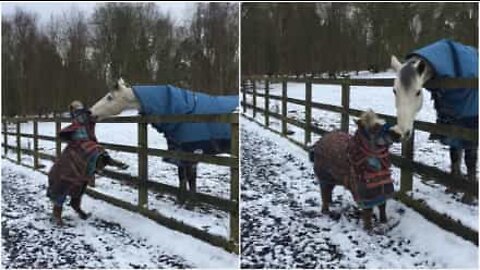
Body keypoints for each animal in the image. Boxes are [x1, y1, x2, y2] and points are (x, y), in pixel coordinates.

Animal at [89, 79, 239, 204]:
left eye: (109, 97)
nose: (90, 112)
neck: (183, 112)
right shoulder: (180, 153)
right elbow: (182, 178)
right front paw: (181, 202)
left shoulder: (191, 153)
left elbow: (191, 179)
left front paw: (191, 204)